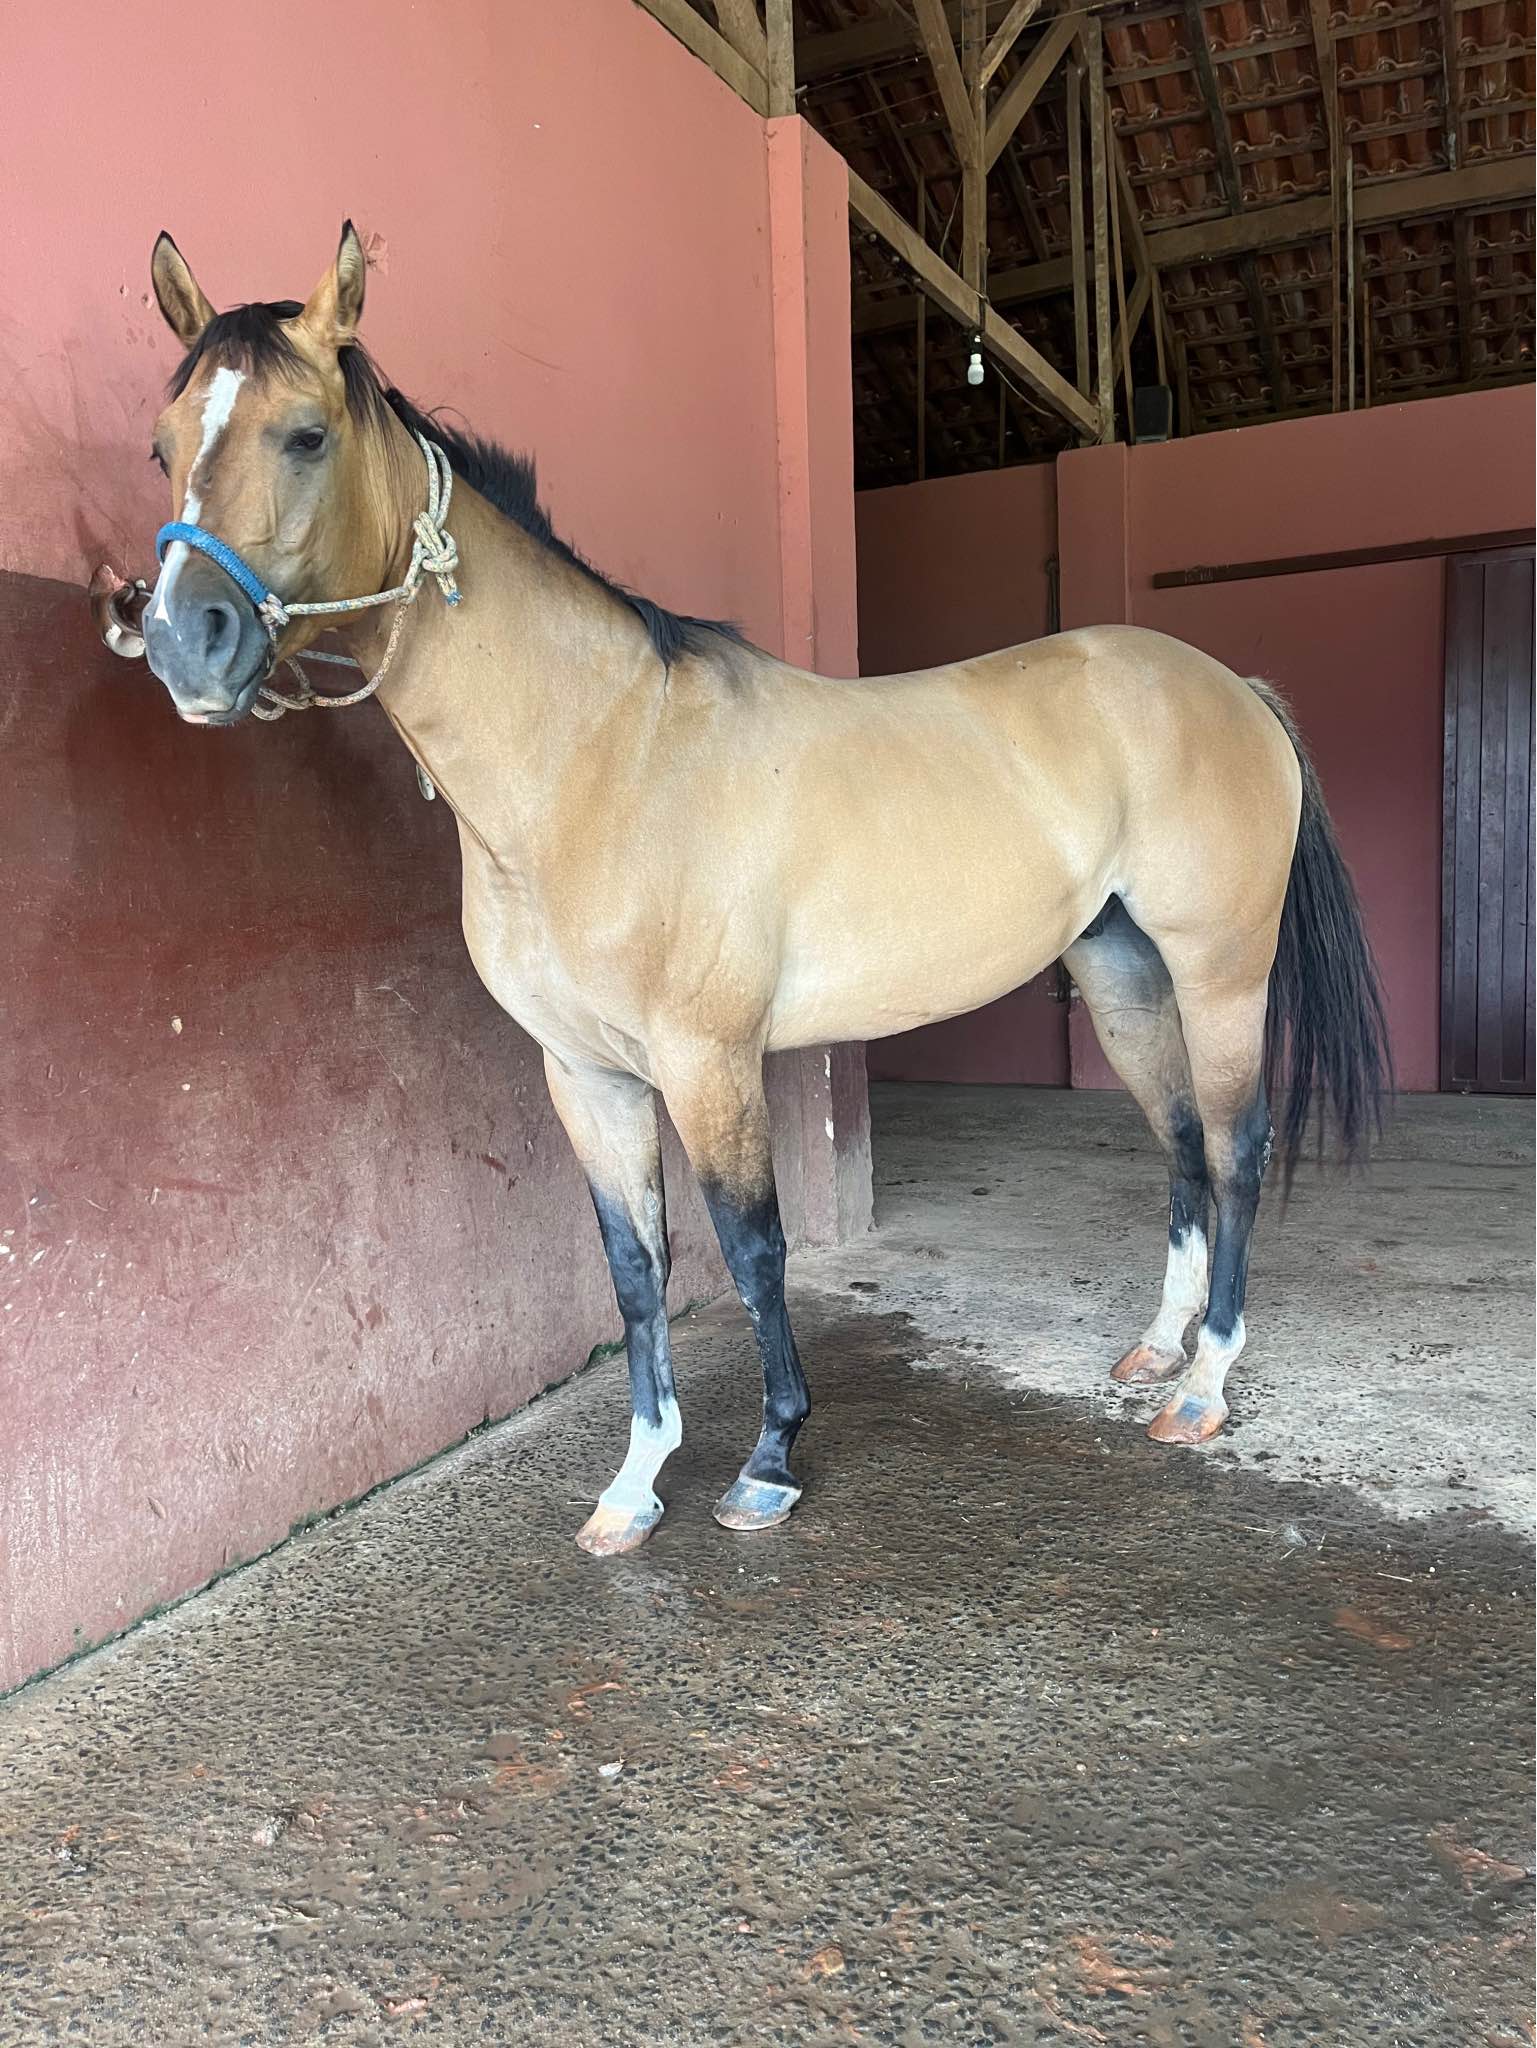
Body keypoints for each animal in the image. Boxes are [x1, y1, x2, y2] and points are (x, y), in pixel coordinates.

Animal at [110, 223, 1390, 1558]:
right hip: (1122, 971)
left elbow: (751, 1245)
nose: (183, 643)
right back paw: (1157, 1351)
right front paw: (634, 1483)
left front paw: (768, 1460)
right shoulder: (586, 1073)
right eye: (161, 443)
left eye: (306, 434)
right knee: (1183, 1141)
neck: (598, 756)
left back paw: (1206, 1384)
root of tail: (1231, 687)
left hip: (1219, 970)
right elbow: (635, 1264)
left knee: (1236, 1146)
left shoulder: (707, 1058)